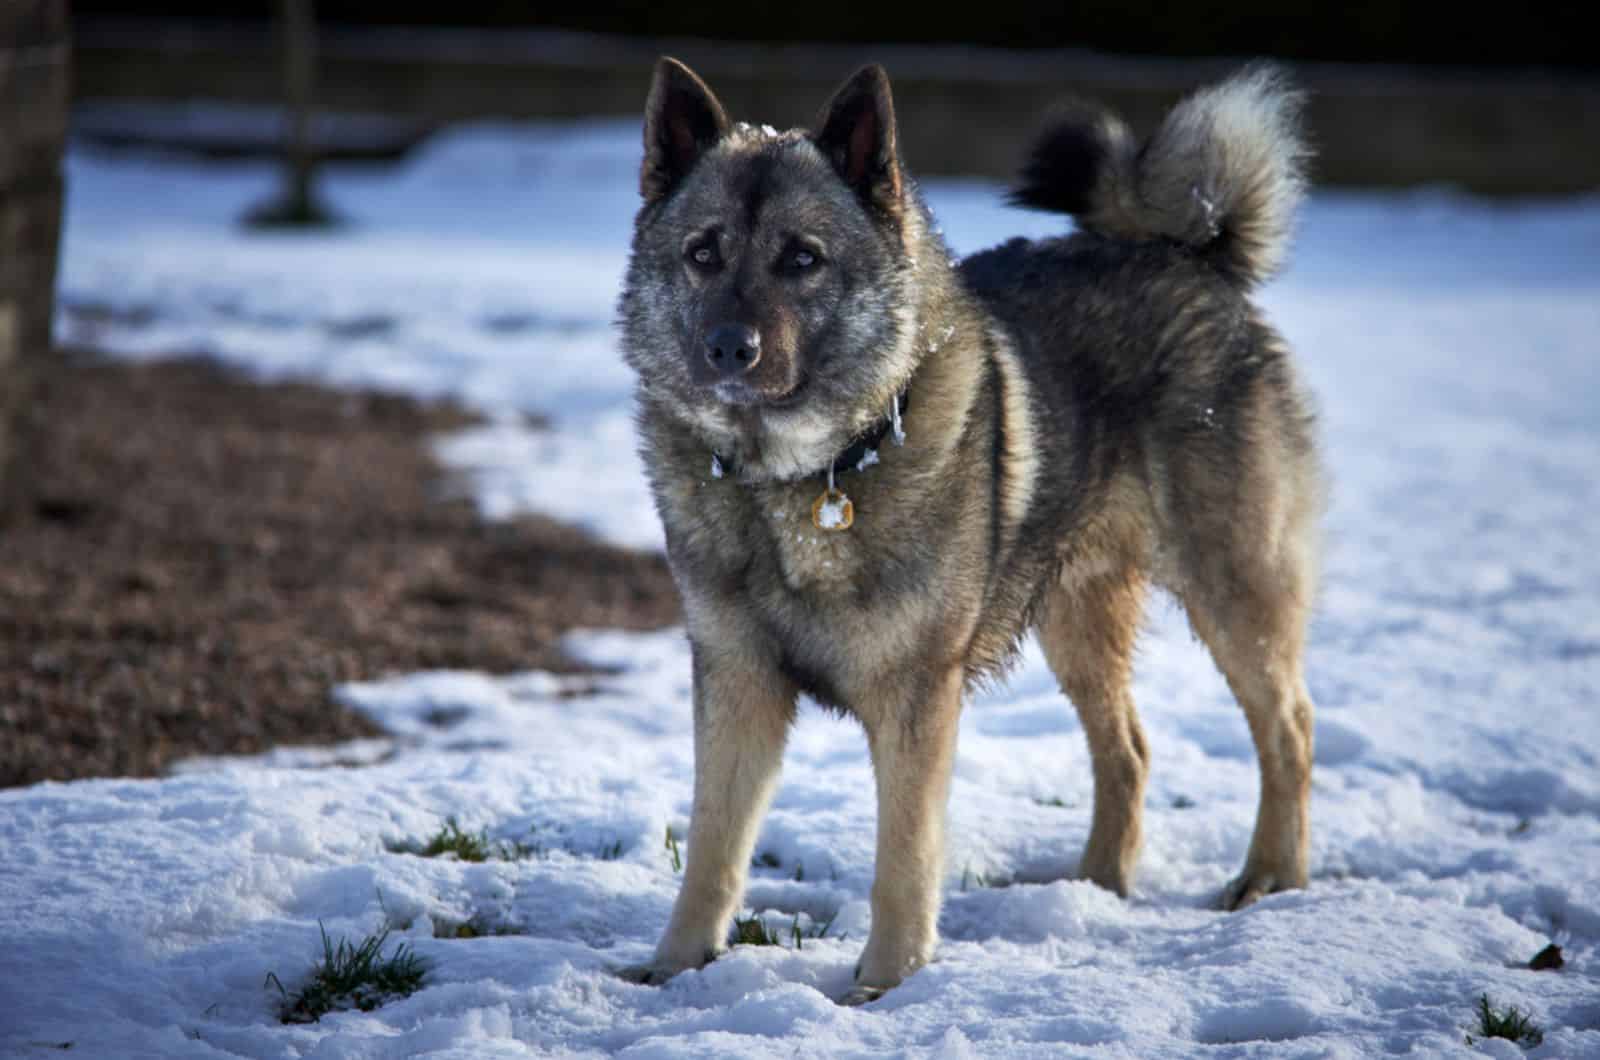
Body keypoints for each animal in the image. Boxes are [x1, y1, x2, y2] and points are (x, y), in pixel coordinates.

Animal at [611, 56, 1324, 1005]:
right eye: (703, 254)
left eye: (802, 259)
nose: (730, 348)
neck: (798, 480)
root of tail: (1185, 254)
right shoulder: (736, 680)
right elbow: (713, 846)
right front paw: (676, 965)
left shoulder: (917, 698)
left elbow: (903, 856)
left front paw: (886, 983)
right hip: (1075, 617)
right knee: (1128, 750)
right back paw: (1094, 887)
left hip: (1234, 590)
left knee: (1288, 730)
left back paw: (1271, 878)